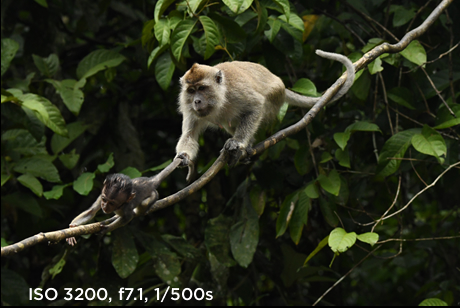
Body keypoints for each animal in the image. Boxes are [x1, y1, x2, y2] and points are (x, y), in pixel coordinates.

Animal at [176, 49, 356, 172]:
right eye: (191, 91)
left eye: (202, 88)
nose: (197, 101)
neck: (220, 96)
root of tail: (282, 88)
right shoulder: (191, 111)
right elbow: (189, 135)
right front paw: (184, 157)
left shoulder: (235, 92)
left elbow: (256, 105)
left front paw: (238, 142)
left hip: (273, 101)